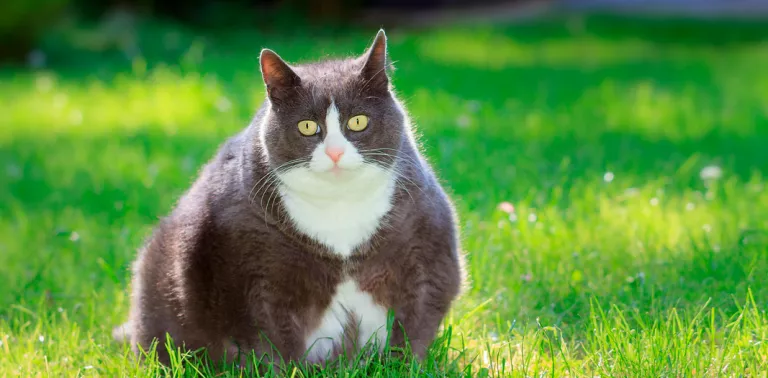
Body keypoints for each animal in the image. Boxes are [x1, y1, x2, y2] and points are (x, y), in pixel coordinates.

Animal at [112, 30, 464, 370]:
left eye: (358, 121)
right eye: (307, 126)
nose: (335, 153)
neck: (339, 211)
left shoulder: (426, 249)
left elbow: (416, 324)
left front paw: (406, 365)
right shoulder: (250, 275)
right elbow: (268, 343)